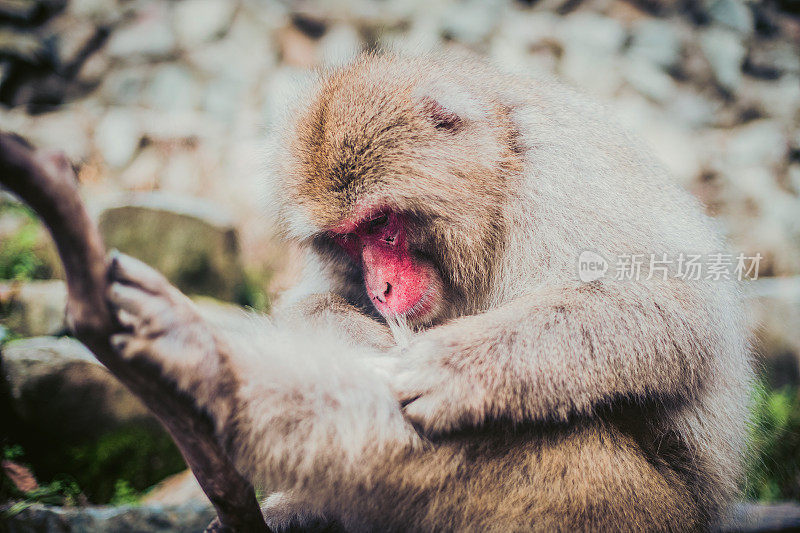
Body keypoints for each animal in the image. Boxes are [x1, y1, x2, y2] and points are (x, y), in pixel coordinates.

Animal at [104, 52, 752, 528]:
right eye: (348, 239)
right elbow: (308, 305)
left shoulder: (562, 178)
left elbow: (668, 312)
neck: (499, 187)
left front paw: (454, 368)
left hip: (628, 504)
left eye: (382, 224)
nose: (381, 286)